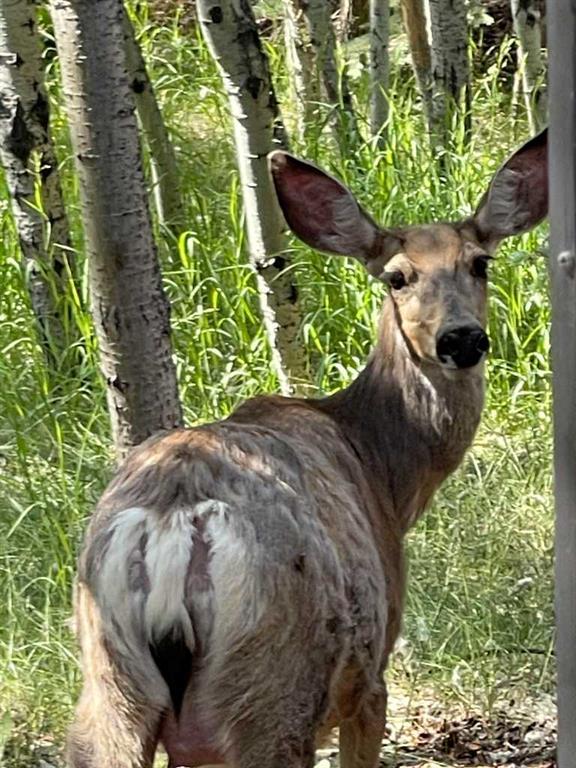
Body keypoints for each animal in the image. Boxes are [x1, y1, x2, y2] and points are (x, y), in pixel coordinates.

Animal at [67, 130, 548, 768]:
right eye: (396, 277)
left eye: (479, 262)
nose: (462, 338)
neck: (382, 468)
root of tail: (174, 519)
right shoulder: (371, 680)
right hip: (273, 687)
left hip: (109, 683)